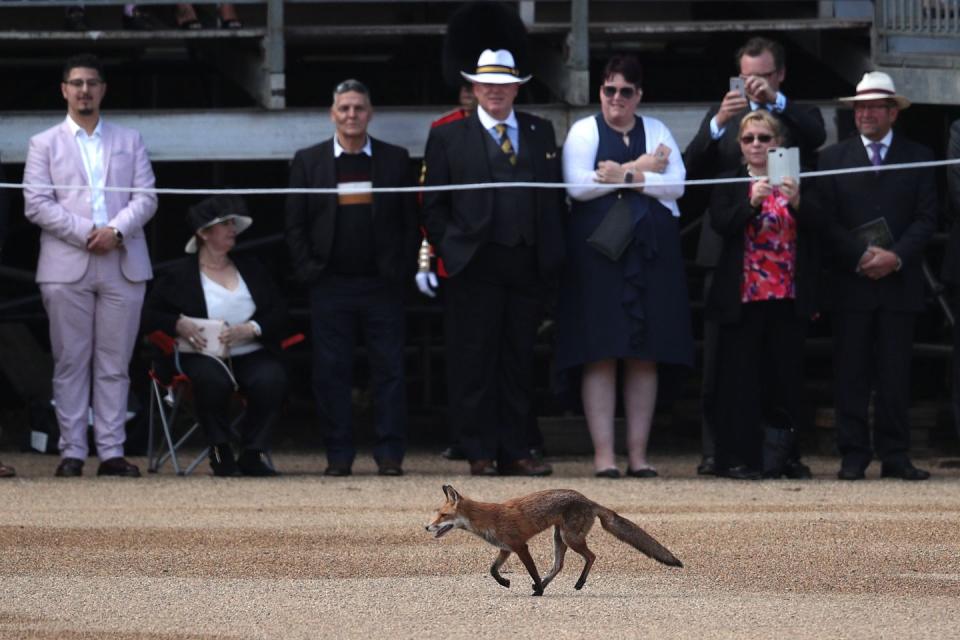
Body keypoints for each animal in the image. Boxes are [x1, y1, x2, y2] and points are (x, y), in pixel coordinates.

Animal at [426, 484, 684, 596]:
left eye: (443, 515)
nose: (426, 526)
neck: (488, 518)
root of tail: (588, 500)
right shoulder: (506, 549)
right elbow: (492, 570)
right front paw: (505, 582)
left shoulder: (521, 546)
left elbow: (532, 571)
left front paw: (538, 590)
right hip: (558, 538)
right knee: (559, 565)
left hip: (570, 538)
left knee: (591, 556)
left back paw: (578, 583)